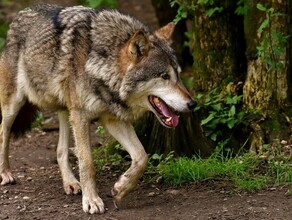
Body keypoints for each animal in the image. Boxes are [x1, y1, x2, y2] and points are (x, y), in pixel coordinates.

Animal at [0, 4, 196, 214]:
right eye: (164, 76)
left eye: (179, 75)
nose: (193, 103)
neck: (101, 64)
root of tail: (20, 14)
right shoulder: (81, 117)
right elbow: (87, 163)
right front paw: (92, 200)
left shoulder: (112, 119)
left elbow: (142, 156)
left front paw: (120, 190)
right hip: (16, 105)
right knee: (3, 131)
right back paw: (5, 174)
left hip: (66, 111)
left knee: (60, 150)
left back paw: (70, 183)